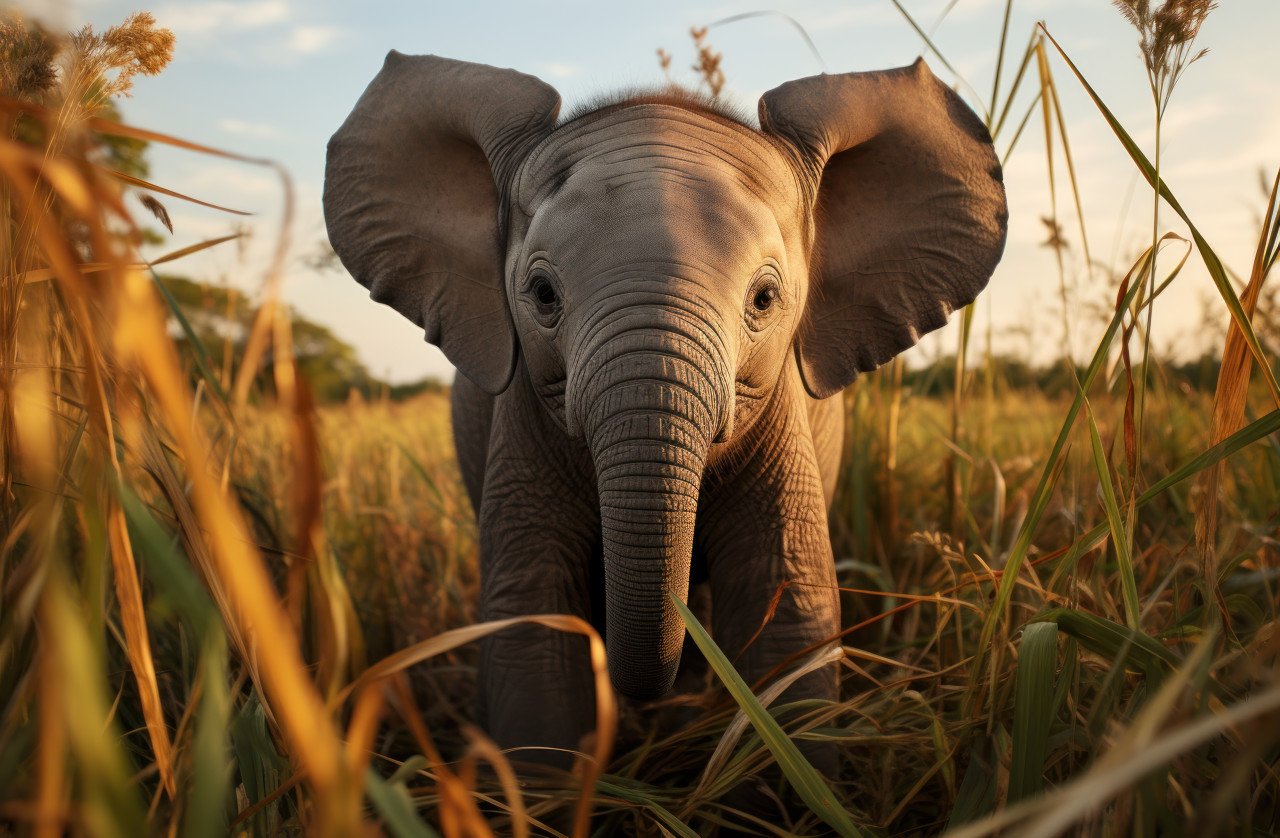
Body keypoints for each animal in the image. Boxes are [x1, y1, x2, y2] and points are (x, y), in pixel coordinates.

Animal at [324, 52, 1007, 771]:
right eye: (542, 294)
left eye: (764, 300)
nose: (642, 697)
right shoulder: (524, 419)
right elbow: (532, 617)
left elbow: (786, 604)